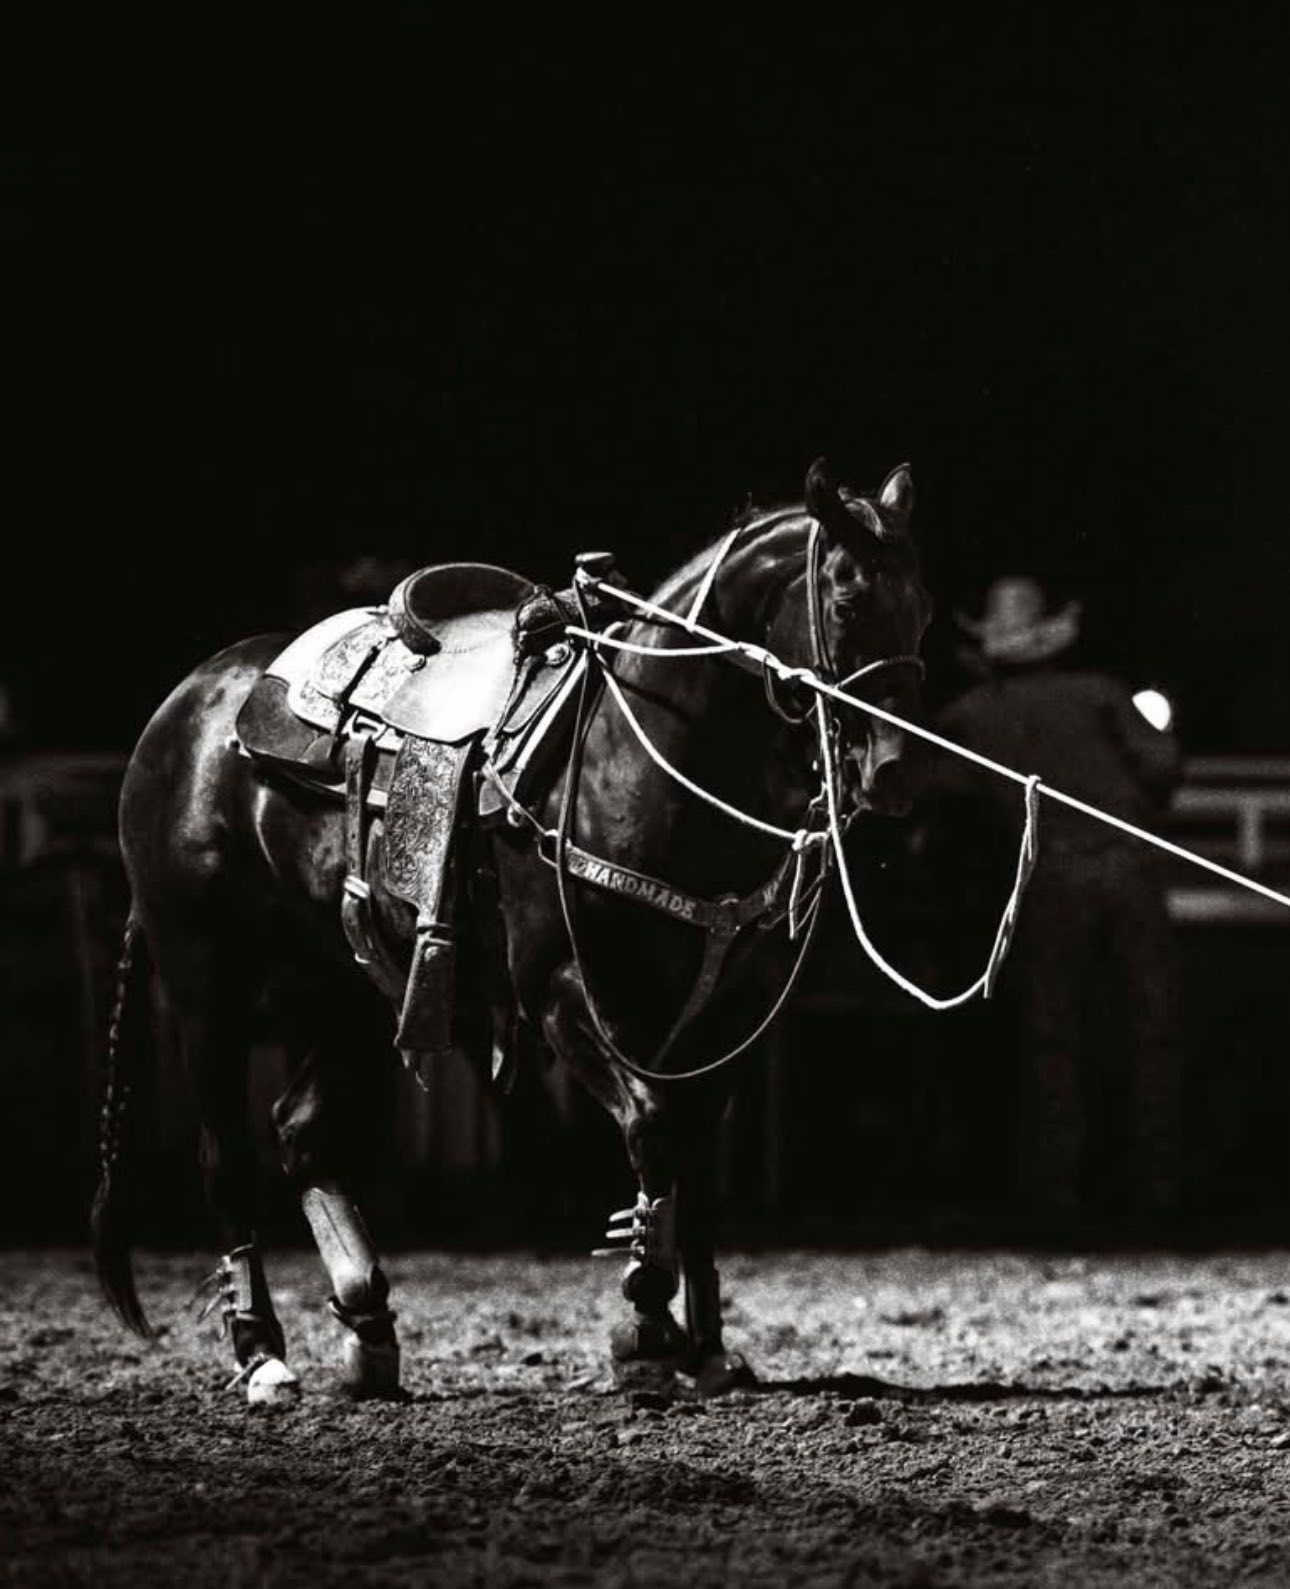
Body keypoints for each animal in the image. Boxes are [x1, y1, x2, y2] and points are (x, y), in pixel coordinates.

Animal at [92, 456, 931, 1404]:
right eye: (847, 597)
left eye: (924, 606)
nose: (893, 773)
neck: (642, 761)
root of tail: (188, 705)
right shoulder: (563, 995)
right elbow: (650, 1133)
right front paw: (645, 1324)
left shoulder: (725, 1020)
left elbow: (692, 1160)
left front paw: (707, 1344)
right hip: (205, 979)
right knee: (224, 1154)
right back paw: (262, 1350)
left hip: (346, 983)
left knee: (301, 1131)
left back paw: (368, 1323)